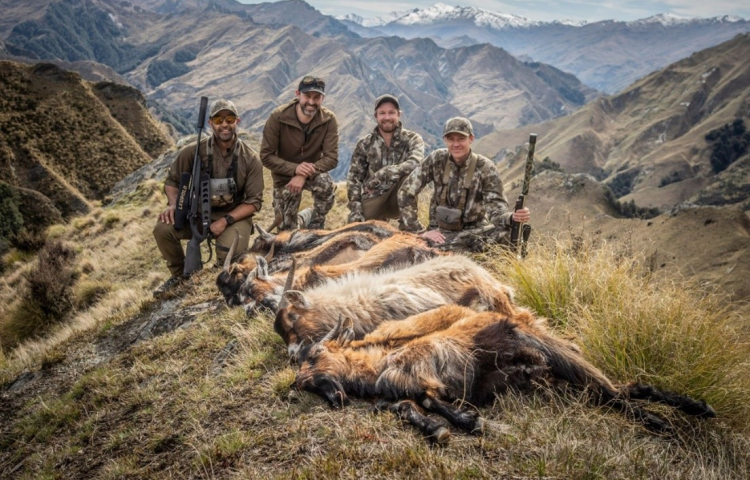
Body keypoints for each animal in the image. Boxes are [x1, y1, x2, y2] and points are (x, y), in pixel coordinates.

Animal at [296, 308, 716, 442]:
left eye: (315, 356)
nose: (296, 384)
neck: (382, 363)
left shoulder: (429, 371)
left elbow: (429, 397)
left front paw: (466, 421)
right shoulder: (397, 392)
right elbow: (403, 406)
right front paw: (441, 427)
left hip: (558, 355)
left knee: (619, 390)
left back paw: (680, 416)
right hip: (555, 380)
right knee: (613, 393)